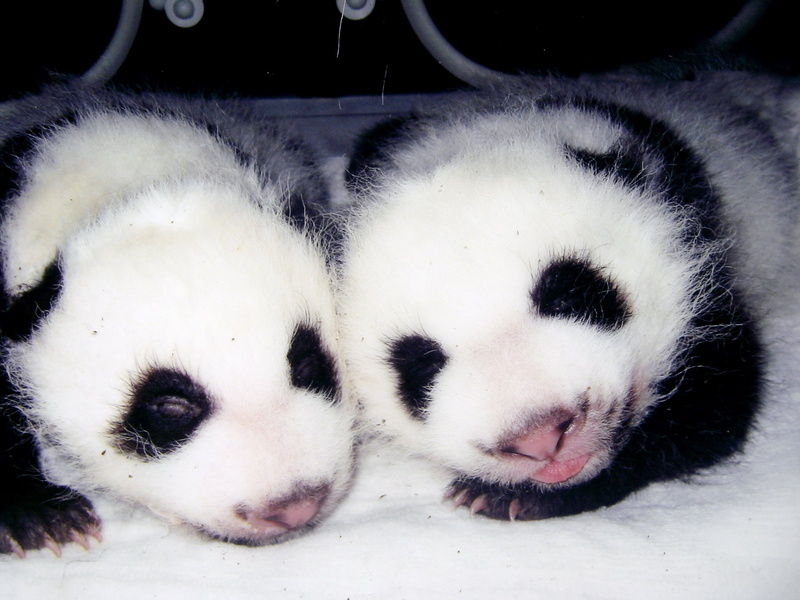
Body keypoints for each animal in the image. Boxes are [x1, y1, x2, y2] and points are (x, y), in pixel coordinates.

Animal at [338, 72, 800, 521]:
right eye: (424, 365)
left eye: (567, 297)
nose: (540, 437)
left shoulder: (702, 271)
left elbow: (714, 405)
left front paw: (509, 497)